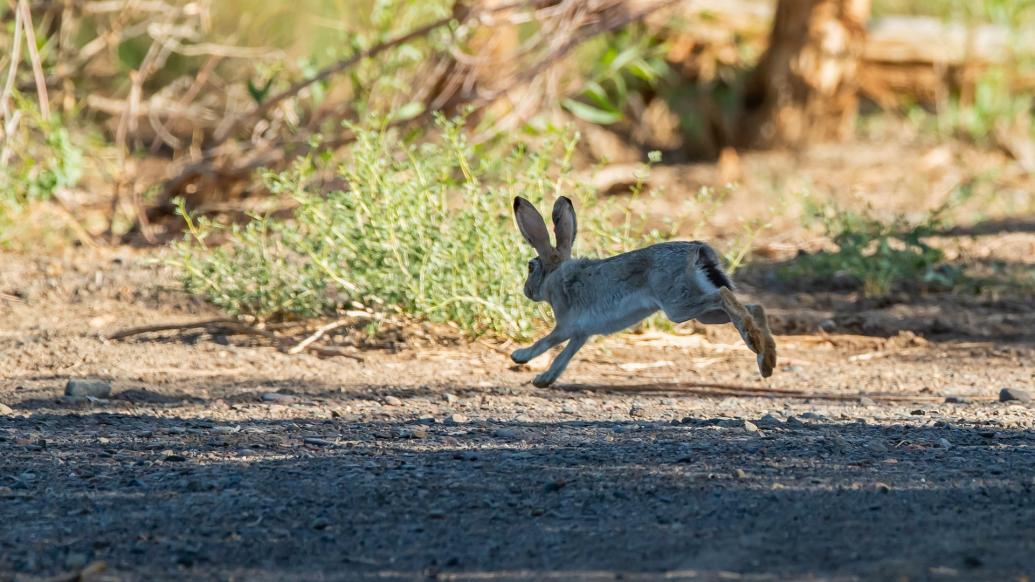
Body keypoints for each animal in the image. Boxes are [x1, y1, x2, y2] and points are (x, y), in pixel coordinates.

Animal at [509, 193, 778, 385]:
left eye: (531, 267)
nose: (527, 291)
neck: (557, 274)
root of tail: (698, 252)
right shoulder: (581, 333)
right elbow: (563, 358)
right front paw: (543, 380)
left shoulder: (566, 325)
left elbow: (546, 342)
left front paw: (519, 356)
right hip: (704, 312)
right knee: (754, 306)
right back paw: (767, 359)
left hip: (678, 306)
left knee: (724, 296)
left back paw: (756, 345)